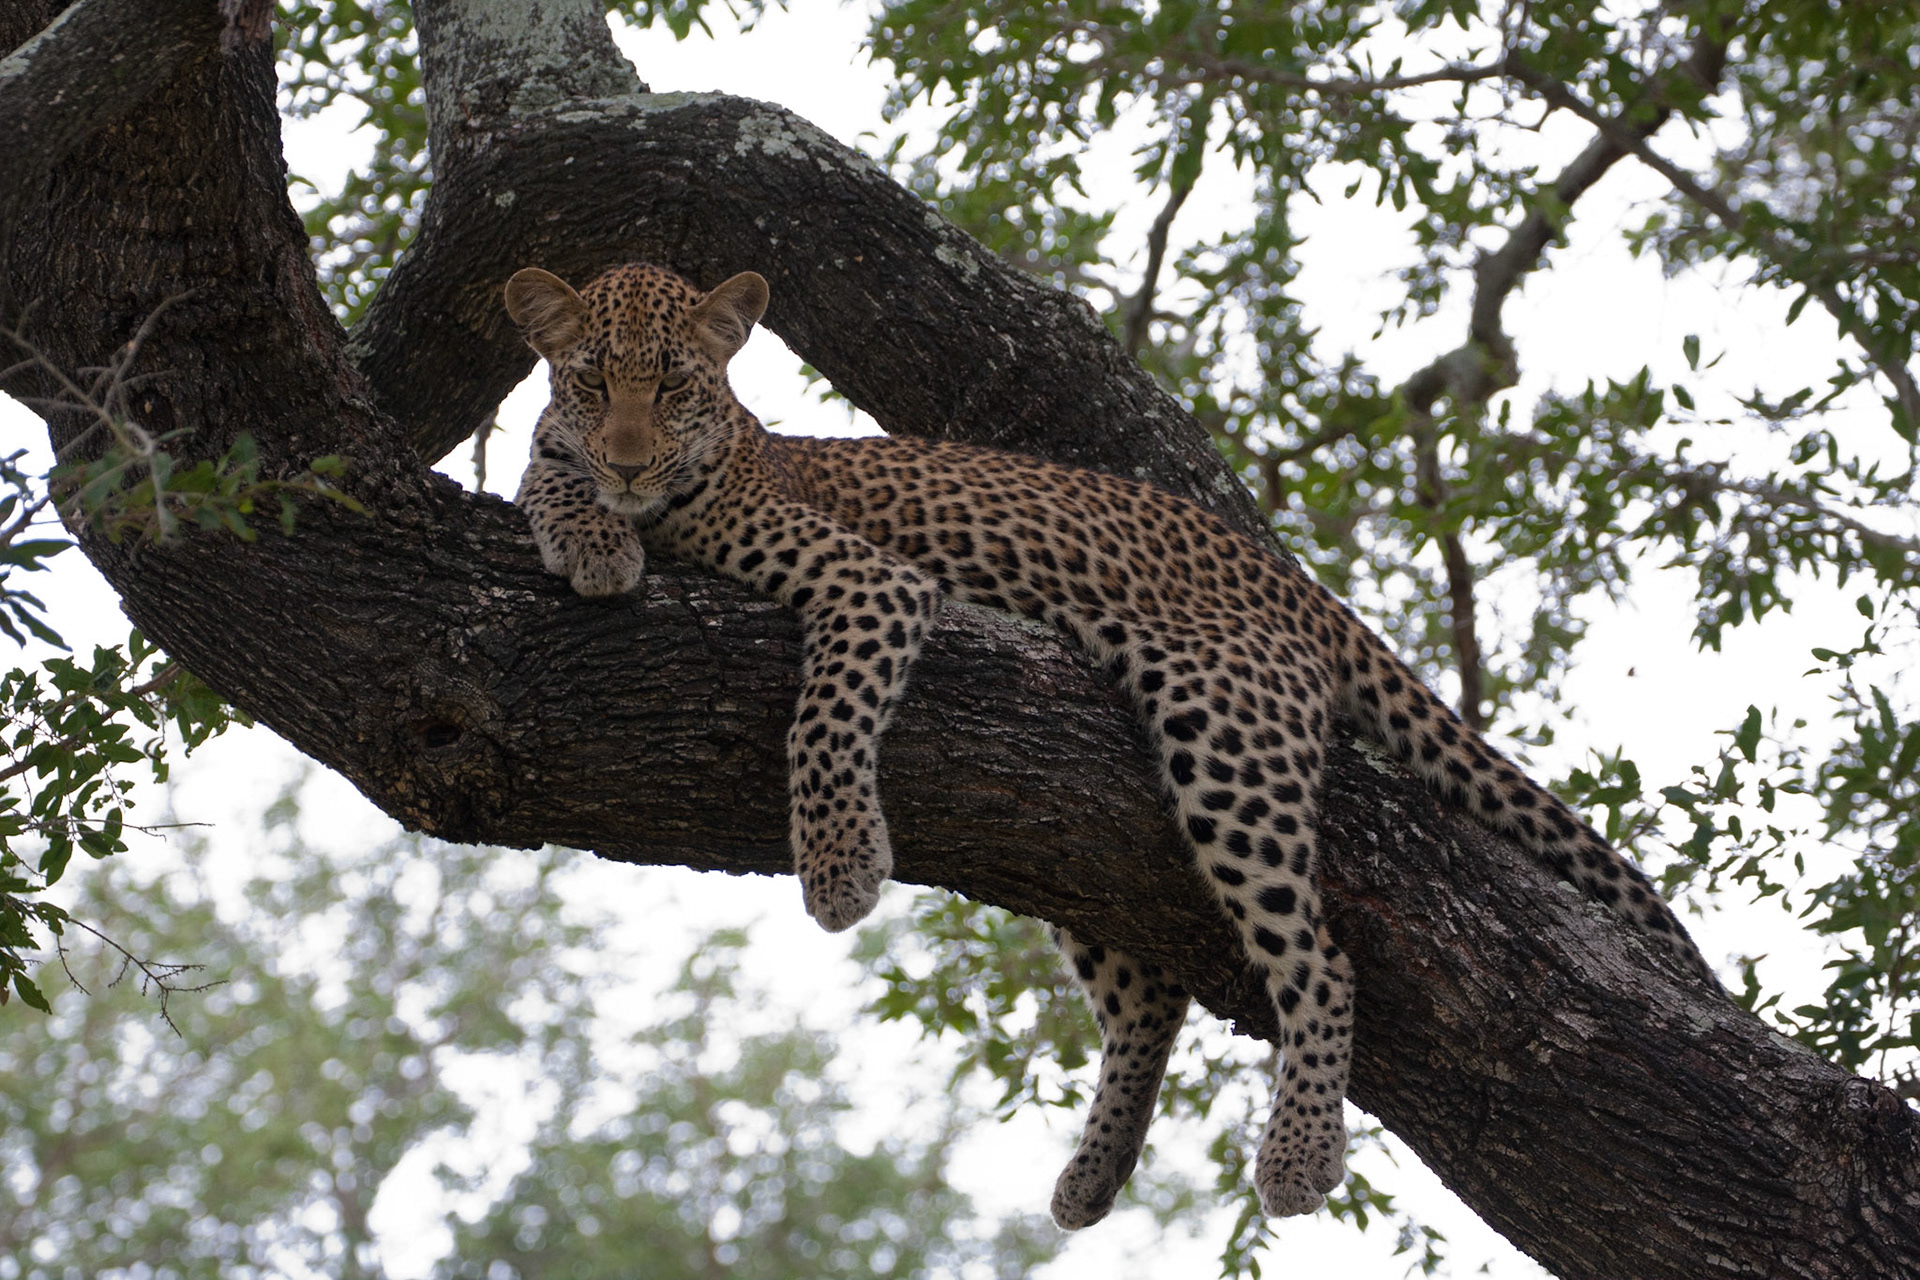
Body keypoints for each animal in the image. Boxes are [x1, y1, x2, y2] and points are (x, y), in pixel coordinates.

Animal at [503, 260, 1715, 1229]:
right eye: (591, 382)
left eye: (674, 385)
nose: (628, 463)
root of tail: (1292, 577)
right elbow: (540, 474)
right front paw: (588, 530)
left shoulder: (874, 586)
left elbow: (827, 715)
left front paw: (841, 863)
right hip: (1063, 834)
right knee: (1149, 992)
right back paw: (1094, 1173)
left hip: (1226, 731)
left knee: (1317, 958)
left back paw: (1299, 1154)